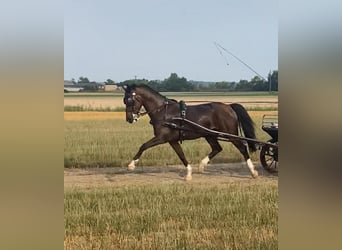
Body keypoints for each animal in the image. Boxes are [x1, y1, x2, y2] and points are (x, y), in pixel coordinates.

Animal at [121, 84, 258, 180]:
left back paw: (253, 172)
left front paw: (131, 165)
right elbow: (181, 155)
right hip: (209, 134)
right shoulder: (172, 140)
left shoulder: (161, 138)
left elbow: (143, 146)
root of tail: (229, 106)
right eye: (124, 100)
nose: (129, 119)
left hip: (231, 134)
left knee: (242, 148)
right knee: (217, 148)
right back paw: (201, 166)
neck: (163, 112)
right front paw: (188, 173)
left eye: (130, 100)